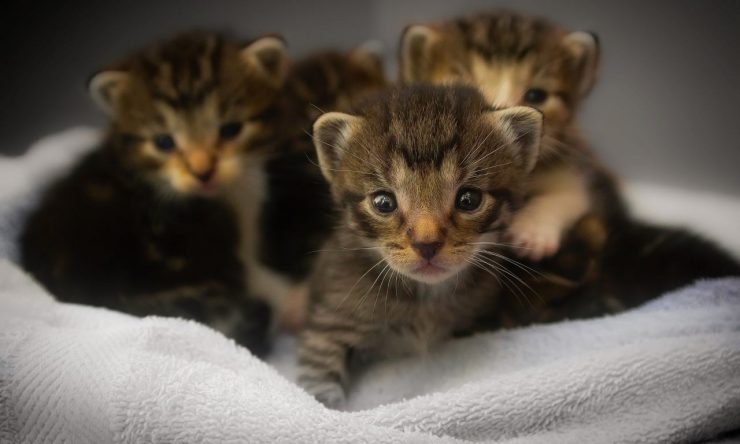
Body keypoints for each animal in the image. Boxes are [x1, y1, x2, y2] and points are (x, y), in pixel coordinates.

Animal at [298, 85, 548, 408]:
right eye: (383, 202)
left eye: (469, 199)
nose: (426, 244)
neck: (425, 300)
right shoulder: (330, 322)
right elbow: (318, 381)